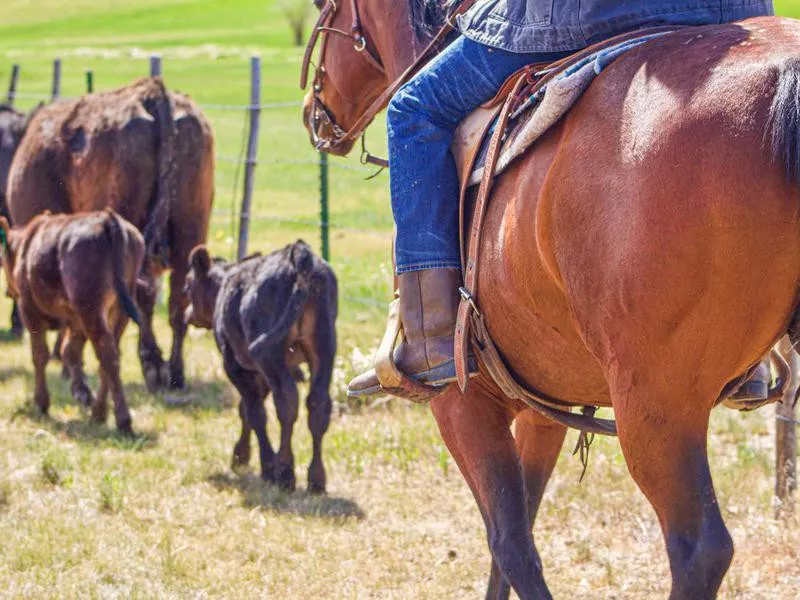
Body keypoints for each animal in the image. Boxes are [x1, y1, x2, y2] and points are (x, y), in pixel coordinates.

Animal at [0, 209, 145, 434]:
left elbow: (40, 354)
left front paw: (41, 404)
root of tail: (108, 219)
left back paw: (122, 420)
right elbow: (70, 351)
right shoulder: (75, 320)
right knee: (110, 354)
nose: (8, 291)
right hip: (118, 311)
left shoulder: (30, 312)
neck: (26, 246)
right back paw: (98, 413)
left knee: (107, 354)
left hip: (91, 308)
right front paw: (82, 393)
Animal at [4, 77, 216, 392]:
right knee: (177, 298)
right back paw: (174, 372)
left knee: (140, 296)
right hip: (191, 228)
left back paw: (152, 367)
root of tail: (153, 93)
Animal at [304, 2, 800, 596]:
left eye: (324, 12)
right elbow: (518, 529)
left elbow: (511, 544)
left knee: (699, 549)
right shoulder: (547, 409)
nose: (313, 113)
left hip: (655, 409)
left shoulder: (464, 405)